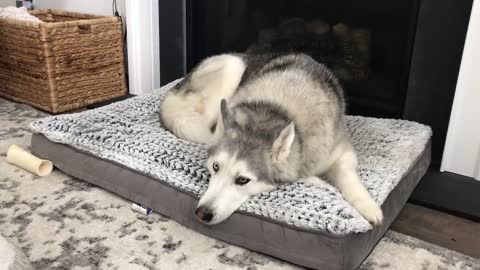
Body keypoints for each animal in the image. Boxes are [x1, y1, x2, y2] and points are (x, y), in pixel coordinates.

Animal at [159, 53, 384, 226]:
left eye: (243, 180)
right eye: (216, 167)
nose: (202, 213)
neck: (275, 112)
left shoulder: (342, 152)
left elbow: (348, 175)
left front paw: (369, 207)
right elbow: (298, 175)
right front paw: (319, 182)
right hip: (232, 67)